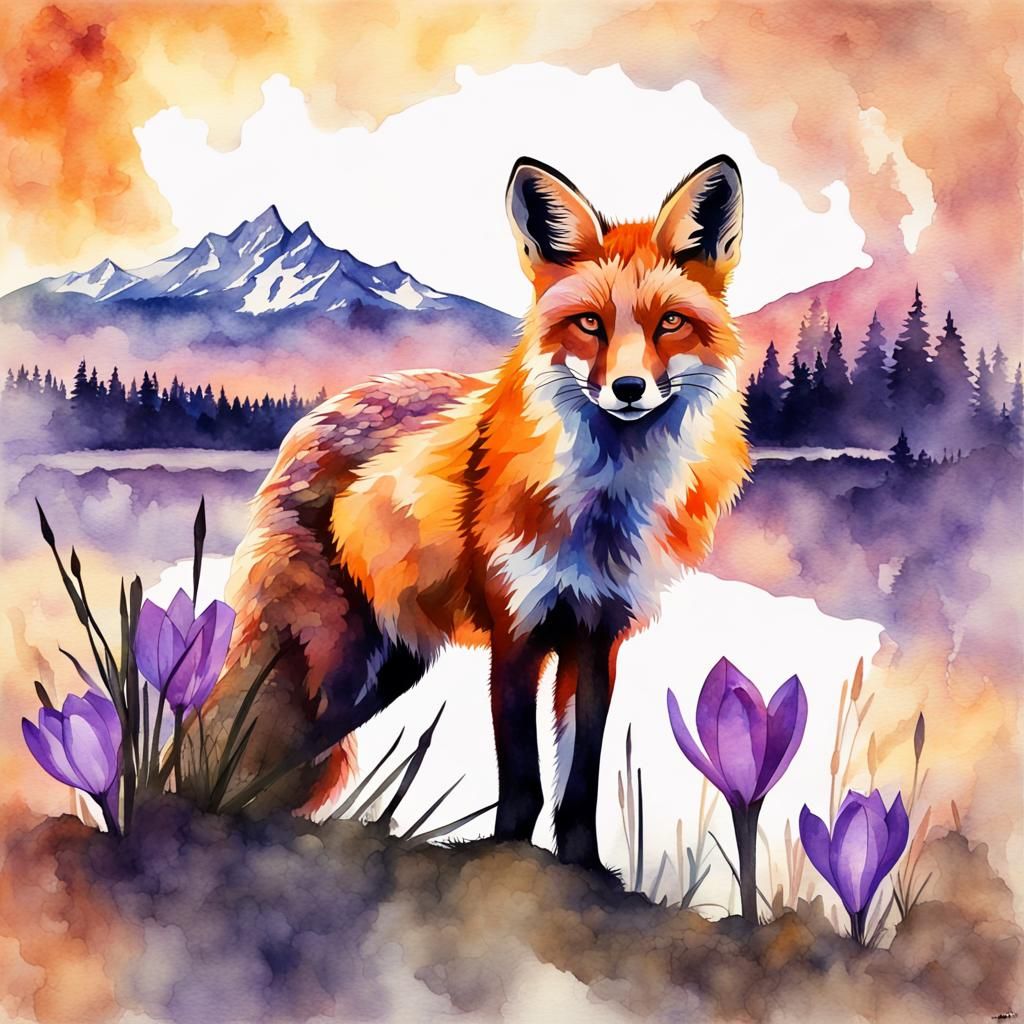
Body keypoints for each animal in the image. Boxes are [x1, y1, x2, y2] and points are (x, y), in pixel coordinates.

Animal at [202, 154, 750, 869]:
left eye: (670, 324)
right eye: (591, 325)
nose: (628, 388)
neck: (601, 512)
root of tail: (305, 425)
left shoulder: (596, 636)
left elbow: (579, 785)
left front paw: (585, 870)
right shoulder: (516, 630)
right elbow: (521, 782)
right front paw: (506, 858)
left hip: (391, 664)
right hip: (335, 660)